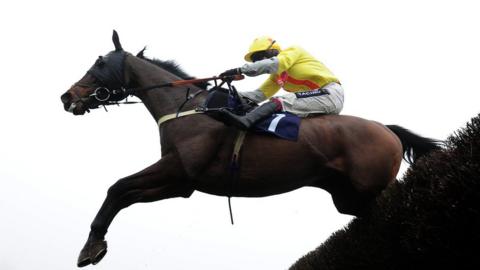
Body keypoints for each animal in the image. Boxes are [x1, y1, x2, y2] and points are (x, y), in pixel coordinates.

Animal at [61, 30, 442, 266]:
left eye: (99, 63)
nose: (67, 96)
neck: (188, 108)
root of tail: (387, 130)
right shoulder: (181, 183)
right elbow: (124, 195)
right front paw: (94, 244)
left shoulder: (177, 169)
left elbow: (116, 188)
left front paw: (90, 247)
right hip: (349, 198)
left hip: (372, 186)